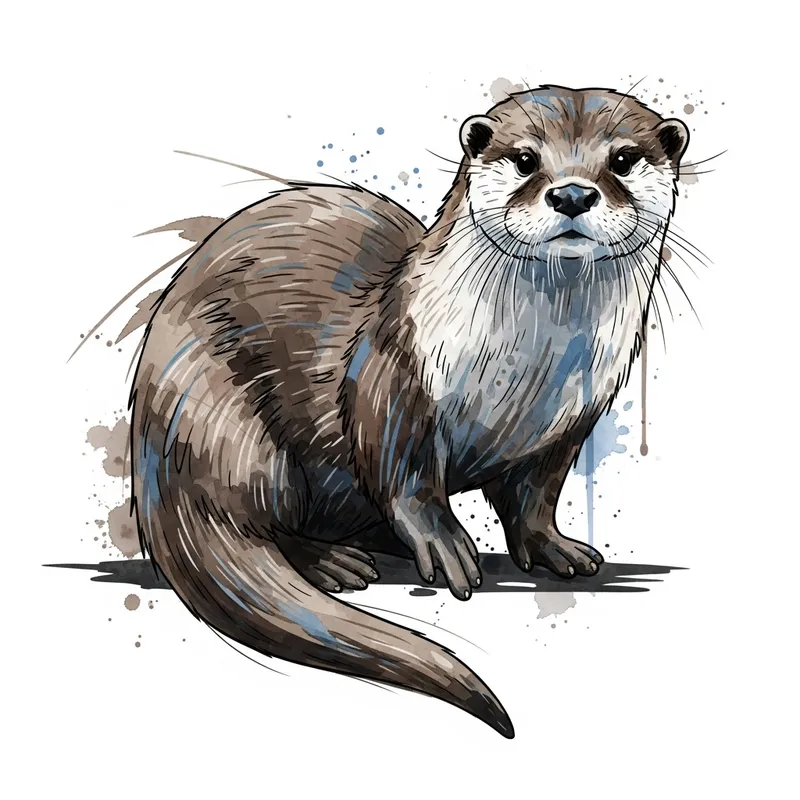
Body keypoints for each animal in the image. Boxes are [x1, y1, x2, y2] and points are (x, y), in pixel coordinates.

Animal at [130, 85, 689, 739]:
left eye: (623, 160)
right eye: (526, 159)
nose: (572, 193)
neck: (528, 376)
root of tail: (157, 470)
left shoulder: (570, 421)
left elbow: (536, 495)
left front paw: (555, 547)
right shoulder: (396, 372)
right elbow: (404, 472)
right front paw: (444, 543)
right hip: (233, 435)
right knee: (257, 517)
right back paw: (332, 563)